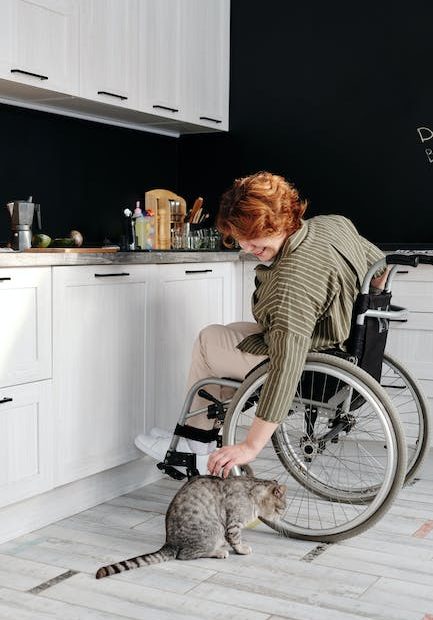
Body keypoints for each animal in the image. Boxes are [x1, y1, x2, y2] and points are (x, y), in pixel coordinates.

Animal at [97, 474, 286, 580]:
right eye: (282, 508)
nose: (282, 516)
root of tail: (170, 543)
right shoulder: (233, 523)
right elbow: (236, 539)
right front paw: (242, 549)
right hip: (213, 529)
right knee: (186, 555)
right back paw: (218, 551)